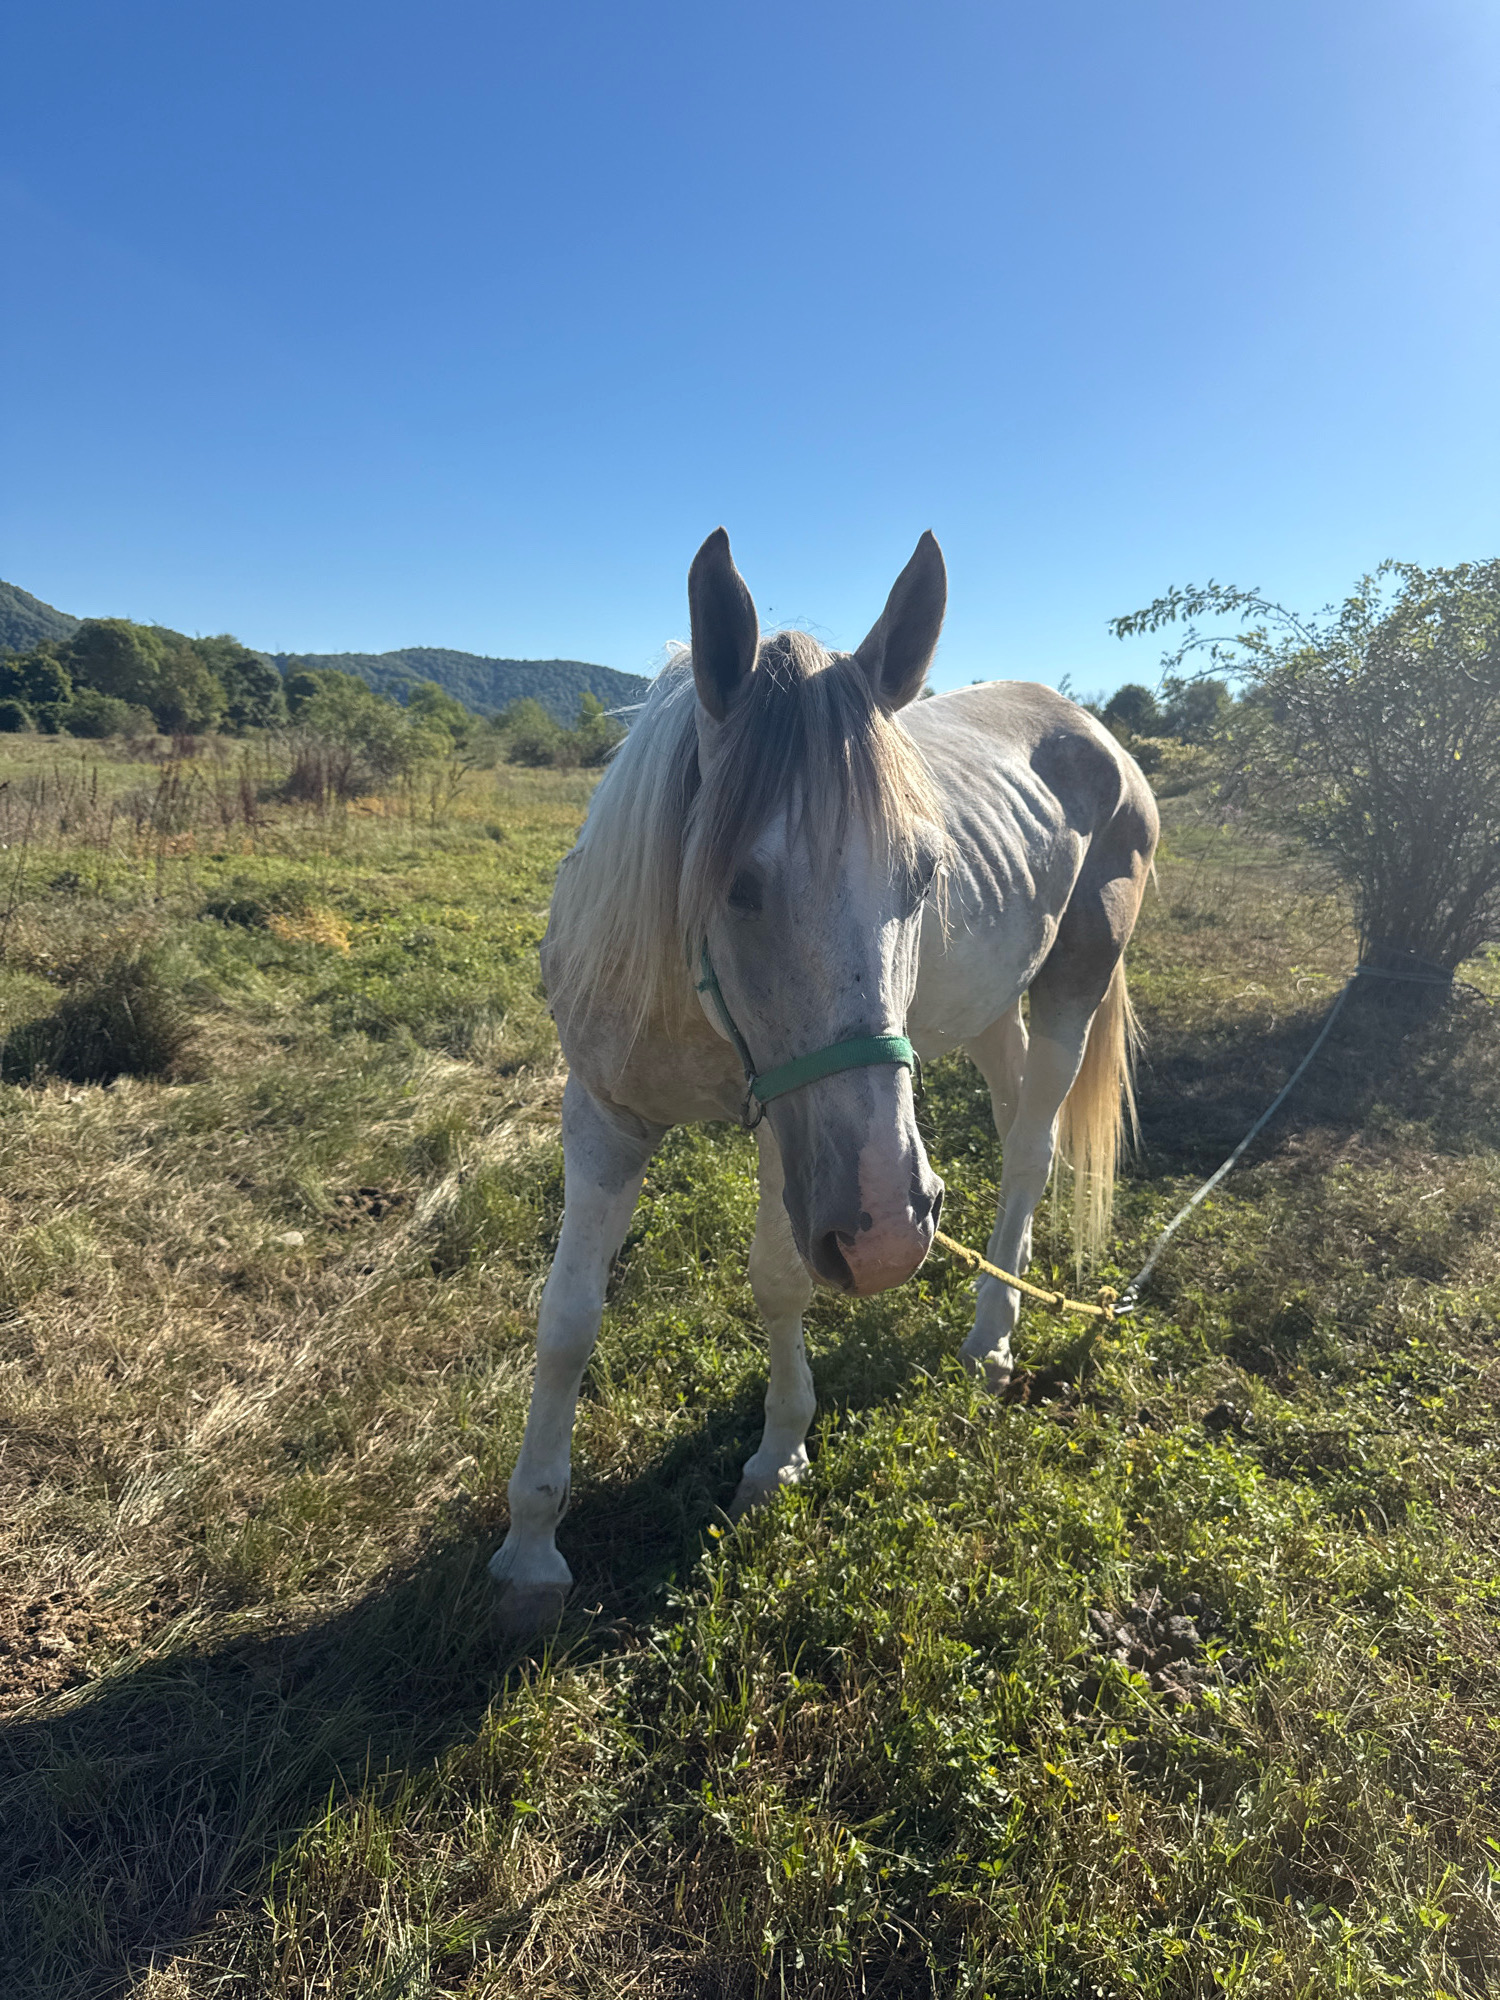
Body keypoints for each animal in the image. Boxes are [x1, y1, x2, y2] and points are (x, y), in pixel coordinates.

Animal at [490, 529, 1159, 1629]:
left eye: (926, 872)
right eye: (738, 885)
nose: (891, 1235)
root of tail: (1093, 730)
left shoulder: (788, 1133)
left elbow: (777, 1280)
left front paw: (778, 1455)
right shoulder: (603, 1115)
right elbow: (566, 1322)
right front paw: (532, 1548)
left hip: (1077, 979)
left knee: (1031, 1146)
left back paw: (993, 1337)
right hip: (991, 1004)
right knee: (1018, 1115)